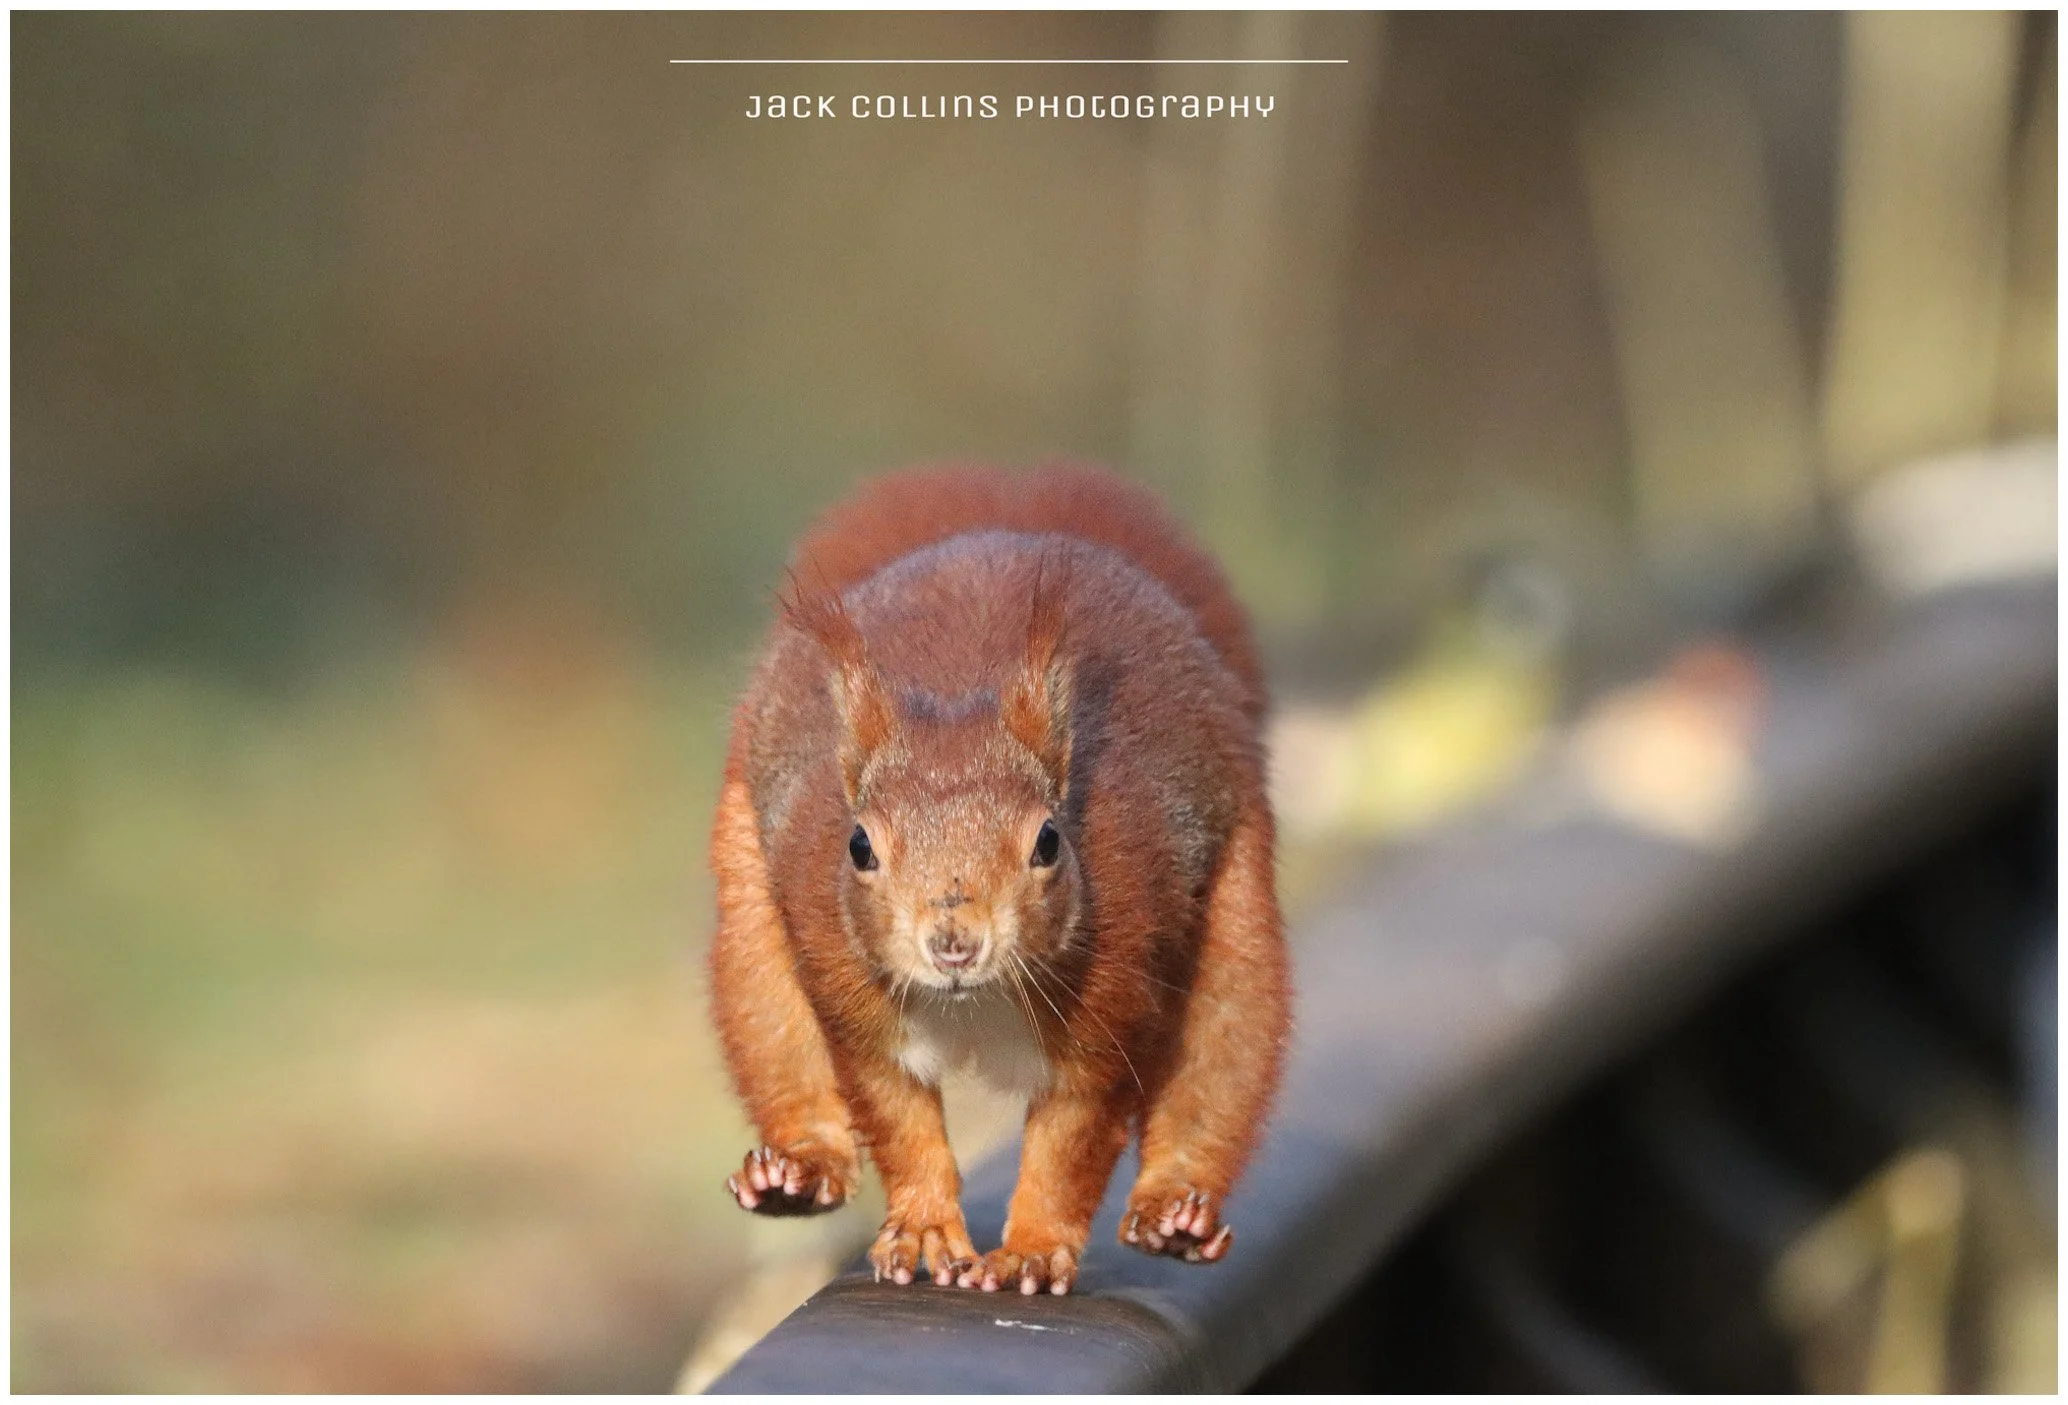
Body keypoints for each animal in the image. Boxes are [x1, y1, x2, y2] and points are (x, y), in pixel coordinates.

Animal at [709, 462, 1291, 1296]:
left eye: (1048, 840)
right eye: (858, 845)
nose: (954, 940)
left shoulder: (1110, 993)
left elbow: (1070, 1140)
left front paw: (1032, 1251)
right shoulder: (848, 988)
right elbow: (897, 1116)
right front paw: (924, 1228)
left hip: (1237, 905)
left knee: (1222, 1055)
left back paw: (1175, 1209)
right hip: (750, 914)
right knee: (776, 1040)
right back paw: (794, 1171)